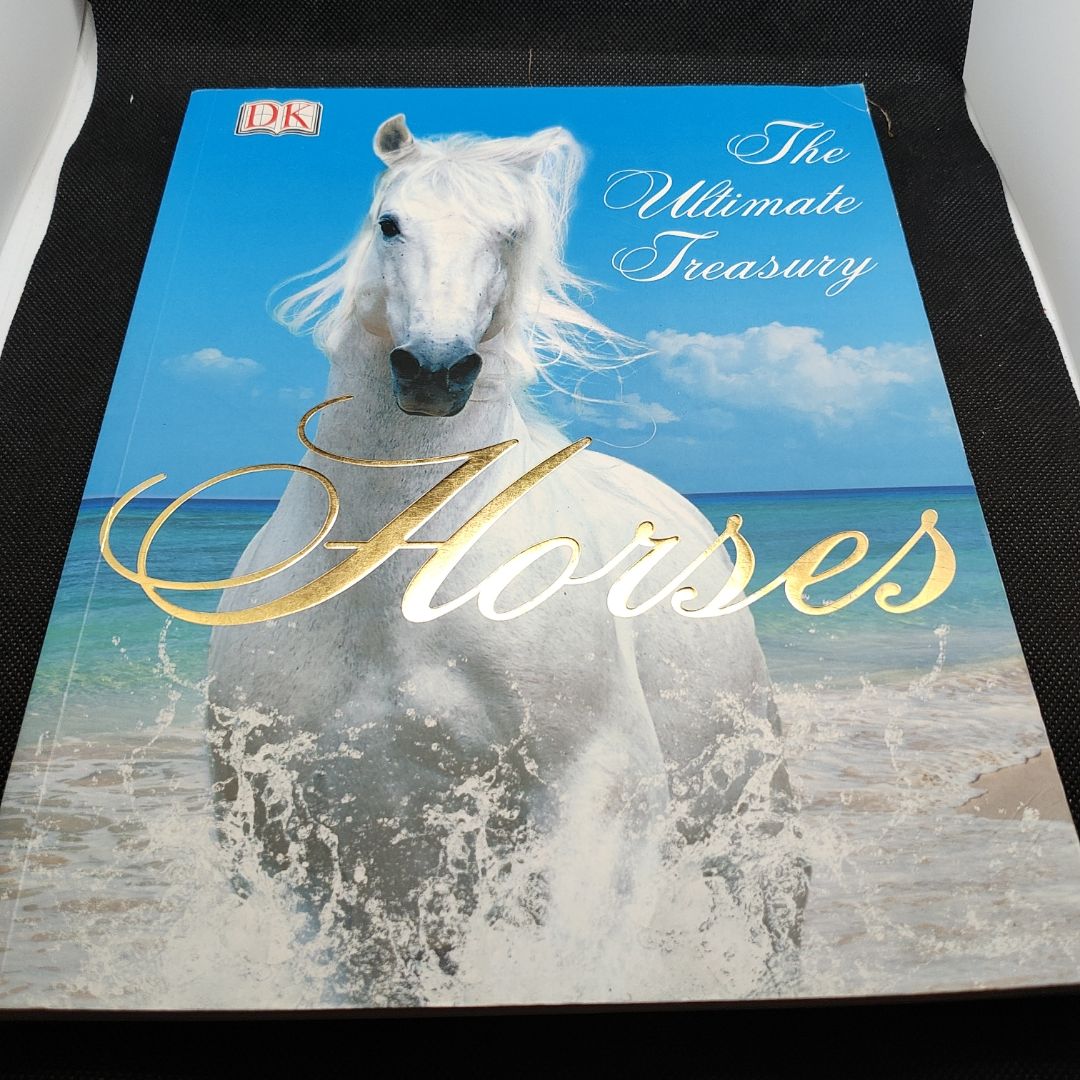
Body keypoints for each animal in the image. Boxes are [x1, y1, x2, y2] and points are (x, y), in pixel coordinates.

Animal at [205, 114, 808, 1004]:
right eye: (390, 223)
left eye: (510, 236)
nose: (435, 370)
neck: (392, 597)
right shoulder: (316, 856)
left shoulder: (596, 792)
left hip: (751, 810)